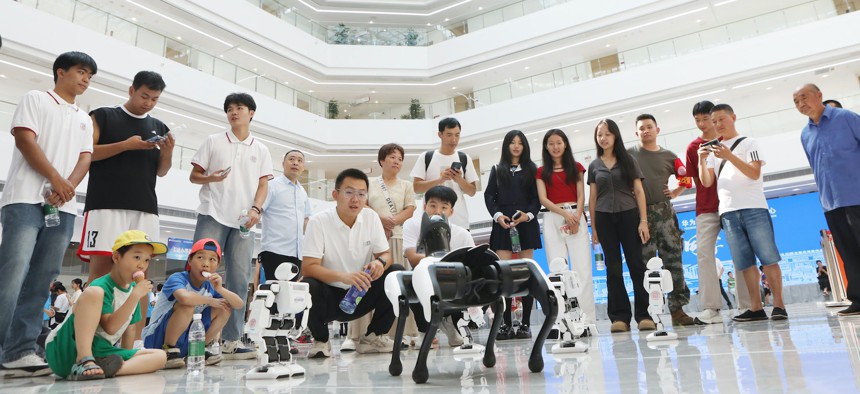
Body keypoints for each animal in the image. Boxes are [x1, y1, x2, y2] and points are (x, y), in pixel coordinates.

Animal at [382, 214, 556, 384]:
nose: (418, 247)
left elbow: (402, 306)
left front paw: (396, 368)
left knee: (434, 312)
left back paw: (417, 372)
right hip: (512, 271)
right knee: (546, 304)